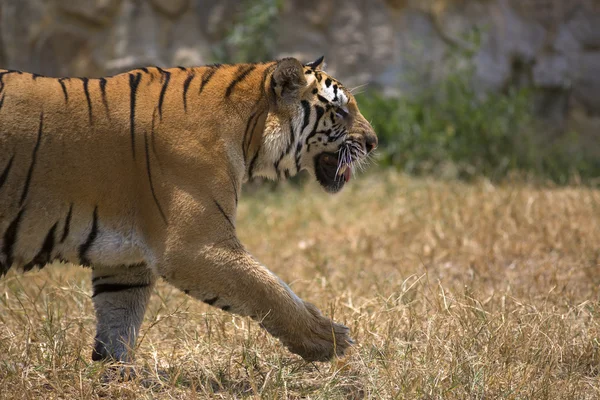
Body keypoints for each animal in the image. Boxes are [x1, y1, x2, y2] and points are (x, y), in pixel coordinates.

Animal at [0, 55, 376, 362]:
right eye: (340, 111)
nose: (373, 142)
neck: (248, 131)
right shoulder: (196, 247)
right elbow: (268, 289)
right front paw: (330, 339)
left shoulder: (124, 261)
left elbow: (119, 322)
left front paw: (117, 377)